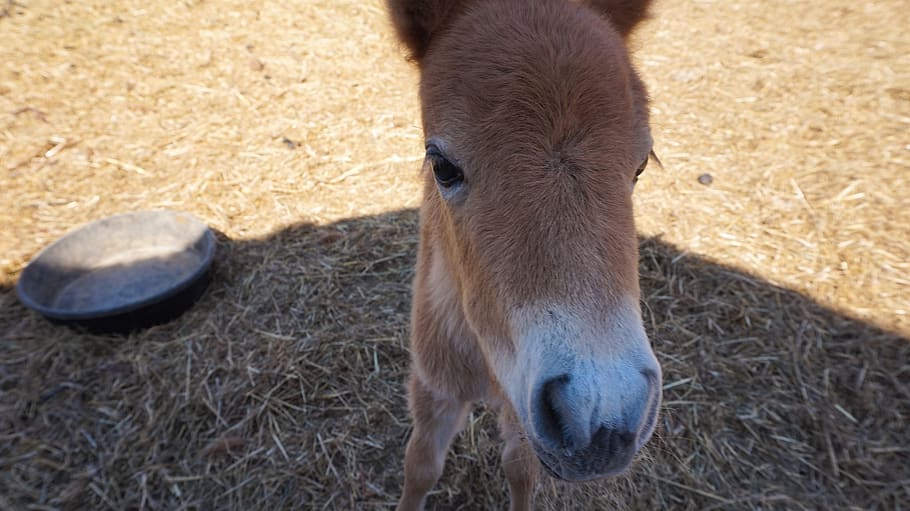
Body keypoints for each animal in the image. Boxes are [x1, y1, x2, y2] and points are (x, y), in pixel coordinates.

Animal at [387, 1, 662, 509]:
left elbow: (520, 471)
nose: (602, 421)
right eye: (442, 165)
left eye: (640, 164)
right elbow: (420, 467)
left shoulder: (523, 412)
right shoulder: (433, 385)